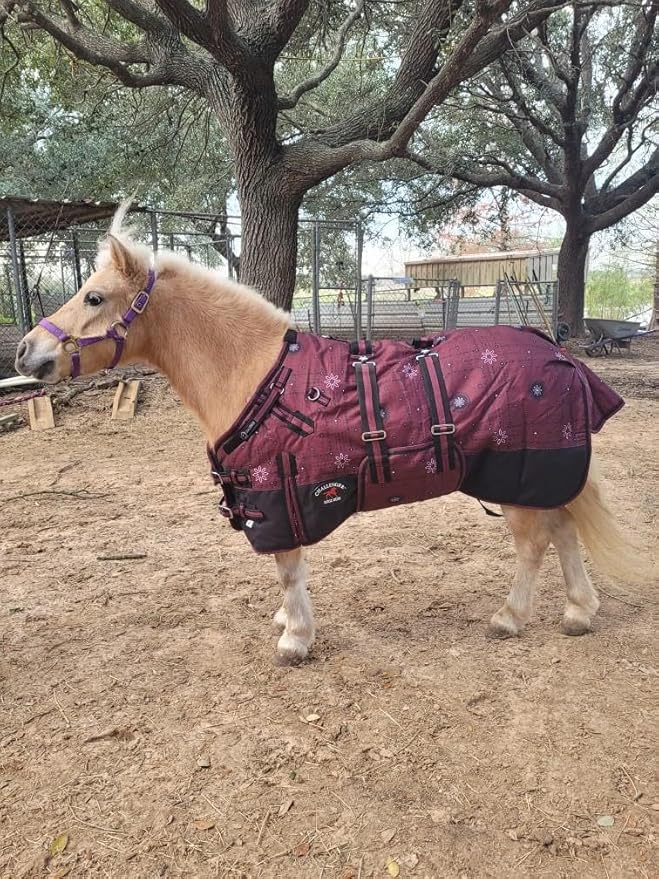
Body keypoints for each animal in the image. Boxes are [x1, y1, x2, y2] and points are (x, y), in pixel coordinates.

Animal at [15, 207, 639, 665]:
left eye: (94, 297)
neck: (256, 373)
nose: (24, 352)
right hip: (540, 478)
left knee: (535, 544)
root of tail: (559, 354)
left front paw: (294, 638)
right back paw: (579, 612)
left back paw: (510, 618)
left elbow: (288, 568)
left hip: (517, 479)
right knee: (564, 531)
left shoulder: (278, 499)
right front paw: (289, 621)